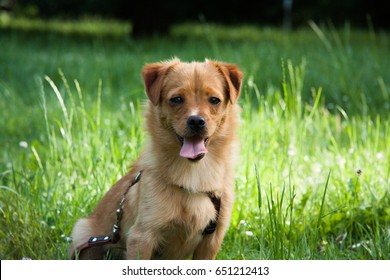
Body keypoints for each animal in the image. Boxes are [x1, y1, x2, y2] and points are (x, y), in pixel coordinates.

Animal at [69, 58, 242, 260]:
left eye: (214, 100)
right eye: (176, 99)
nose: (196, 121)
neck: (194, 172)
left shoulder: (211, 240)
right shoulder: (142, 236)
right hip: (83, 233)